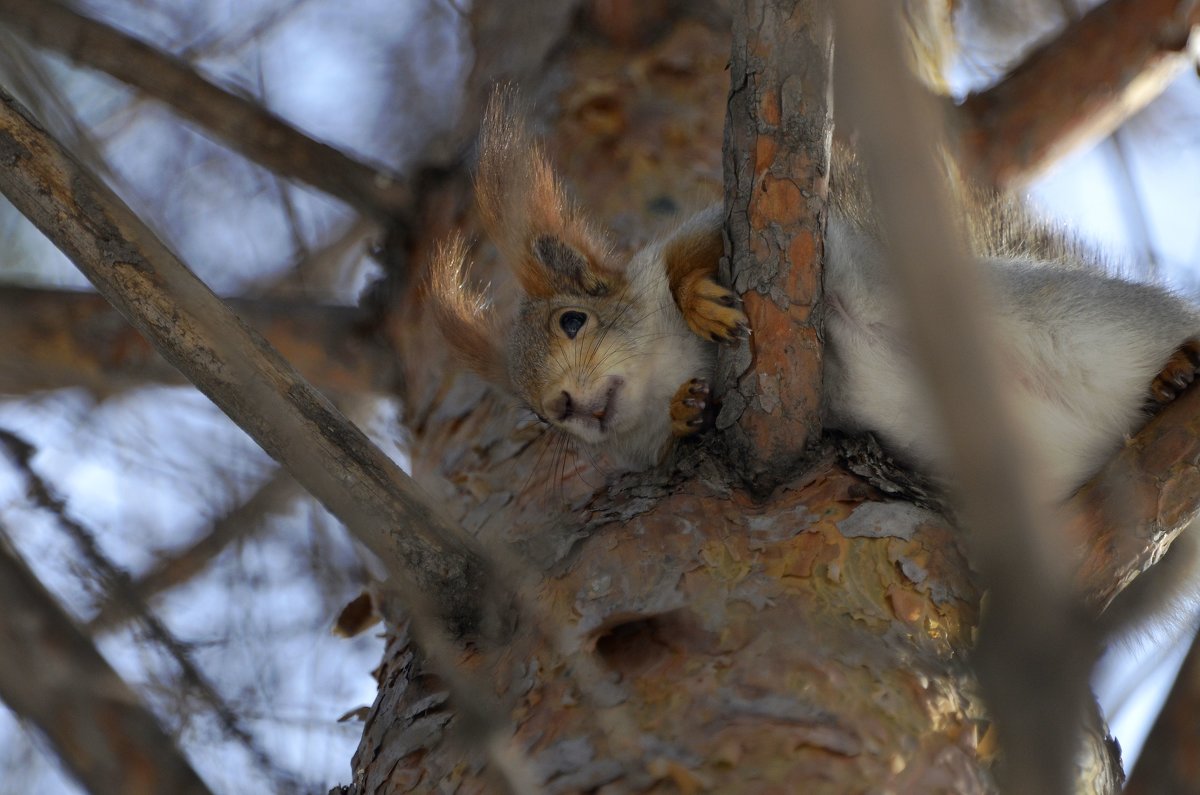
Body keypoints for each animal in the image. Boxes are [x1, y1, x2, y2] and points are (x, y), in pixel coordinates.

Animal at [432, 94, 1200, 504]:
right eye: (534, 413)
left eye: (573, 320)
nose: (564, 406)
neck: (664, 362)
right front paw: (686, 413)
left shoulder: (780, 225)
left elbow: (694, 250)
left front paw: (695, 297)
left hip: (1070, 317)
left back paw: (1177, 365)